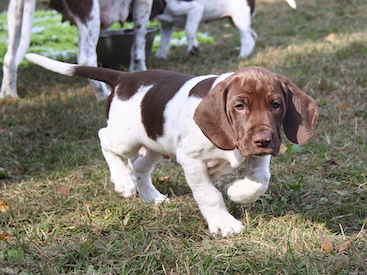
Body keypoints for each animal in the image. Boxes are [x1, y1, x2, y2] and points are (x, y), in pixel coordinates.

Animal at [26, 53, 320, 237]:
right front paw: (223, 223)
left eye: (276, 104)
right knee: (105, 140)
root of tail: (124, 78)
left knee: (140, 167)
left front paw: (238, 192)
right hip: (126, 139)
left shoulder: (258, 155)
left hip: (155, 145)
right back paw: (122, 180)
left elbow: (260, 180)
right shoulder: (191, 160)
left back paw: (151, 196)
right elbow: (209, 194)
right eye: (239, 106)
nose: (263, 140)